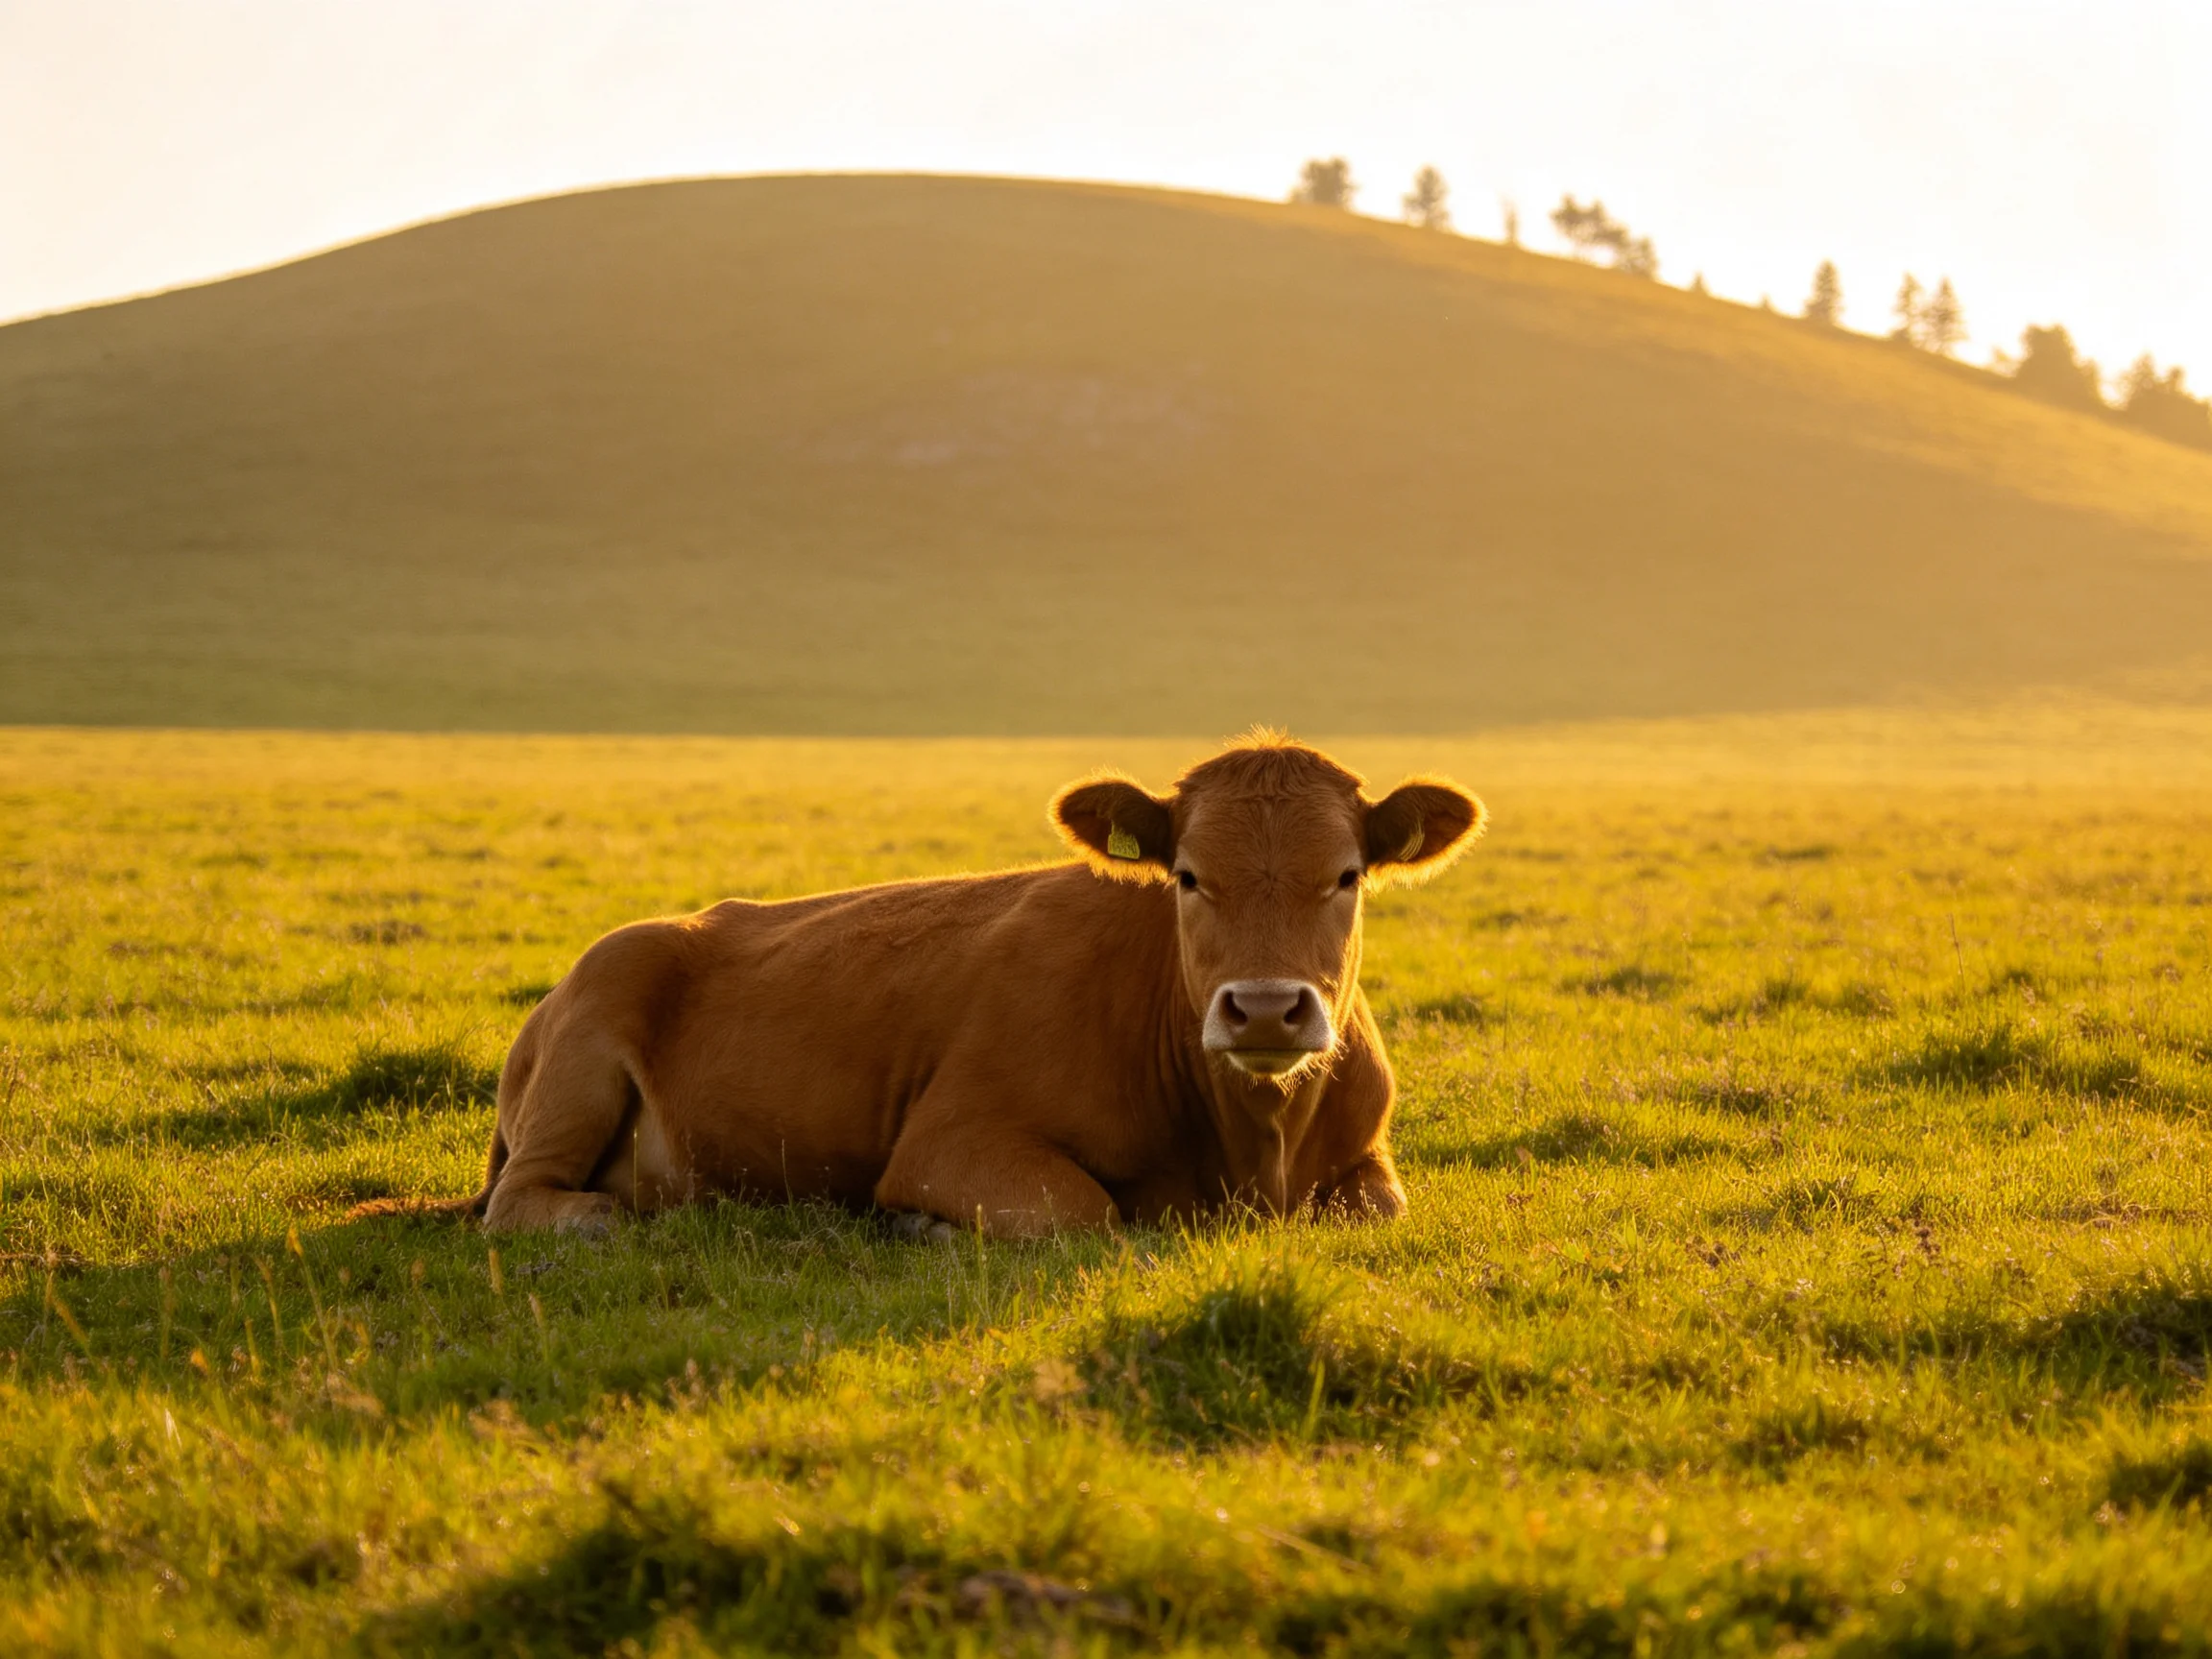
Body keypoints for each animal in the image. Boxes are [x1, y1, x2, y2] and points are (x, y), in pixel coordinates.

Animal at [414, 735, 1483, 1237]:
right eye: (1187, 876)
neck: (1250, 1148)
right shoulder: (951, 1139)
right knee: (530, 1198)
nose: (1265, 1008)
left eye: (1346, 876)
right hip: (587, 1046)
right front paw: (920, 1228)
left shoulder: (1366, 1161)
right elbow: (1080, 1210)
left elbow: (1378, 1208)